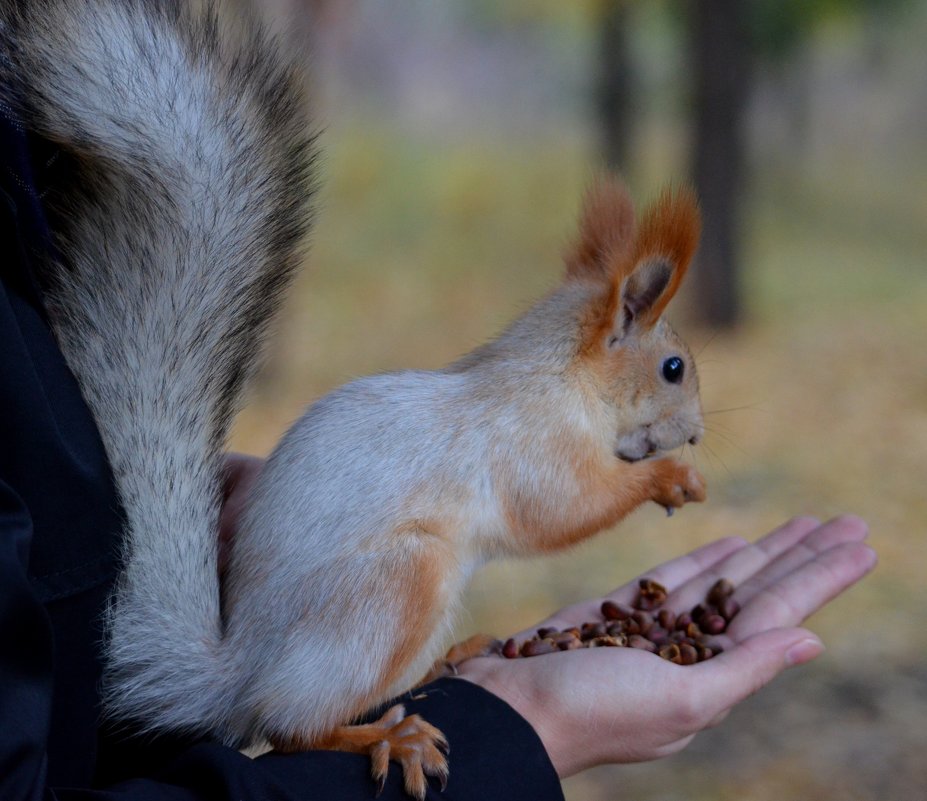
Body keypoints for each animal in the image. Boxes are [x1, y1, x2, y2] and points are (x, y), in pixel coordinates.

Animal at [1, 0, 704, 796]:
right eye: (673, 368)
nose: (697, 433)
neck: (556, 375)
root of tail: (239, 674)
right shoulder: (532, 443)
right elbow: (561, 510)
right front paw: (667, 478)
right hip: (397, 583)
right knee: (289, 726)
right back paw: (388, 735)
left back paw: (449, 658)